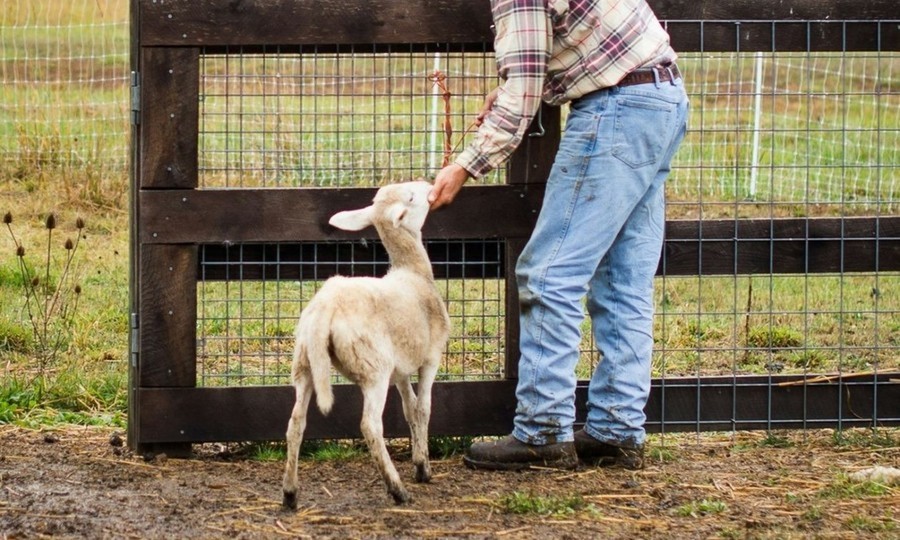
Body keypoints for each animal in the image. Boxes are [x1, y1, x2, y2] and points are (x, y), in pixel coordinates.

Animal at [281, 181, 451, 508]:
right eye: (411, 197)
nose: (429, 184)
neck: (413, 272)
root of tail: (326, 307)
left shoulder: (400, 369)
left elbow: (410, 409)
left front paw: (417, 459)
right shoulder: (430, 357)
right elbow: (424, 407)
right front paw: (423, 467)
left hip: (305, 362)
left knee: (295, 423)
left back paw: (289, 493)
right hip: (374, 367)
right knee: (370, 425)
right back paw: (397, 489)